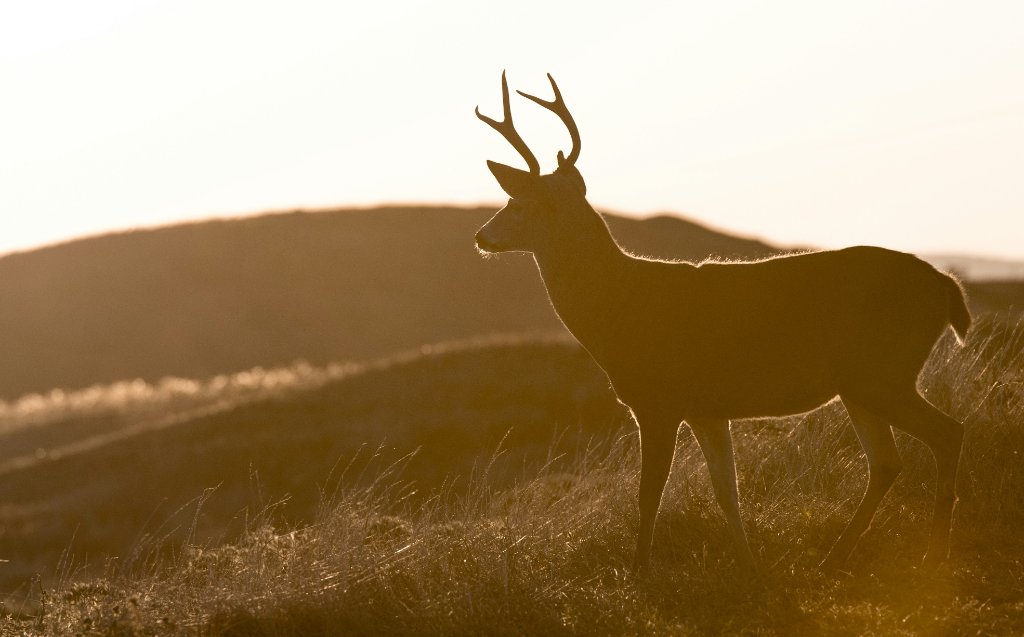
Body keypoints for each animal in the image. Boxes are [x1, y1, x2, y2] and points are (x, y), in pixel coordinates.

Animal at [473, 72, 971, 573]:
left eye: (517, 203)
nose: (480, 236)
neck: (618, 305)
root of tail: (946, 286)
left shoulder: (658, 400)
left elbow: (648, 495)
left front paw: (639, 572)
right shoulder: (706, 408)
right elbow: (726, 491)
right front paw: (749, 566)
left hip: (883, 372)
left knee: (948, 433)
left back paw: (933, 556)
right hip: (861, 383)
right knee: (887, 461)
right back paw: (834, 558)